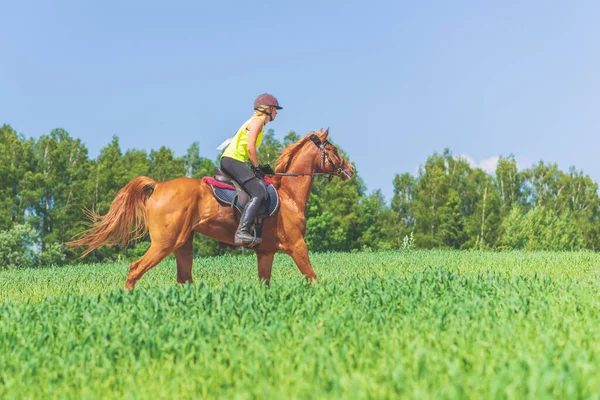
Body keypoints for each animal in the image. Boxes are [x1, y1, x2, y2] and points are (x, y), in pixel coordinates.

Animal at [68, 130, 354, 290]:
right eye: (333, 149)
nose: (350, 170)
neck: (289, 196)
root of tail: (158, 185)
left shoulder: (265, 252)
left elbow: (265, 284)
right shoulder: (297, 245)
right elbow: (312, 278)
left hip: (183, 243)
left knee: (184, 279)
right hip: (164, 243)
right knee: (135, 269)